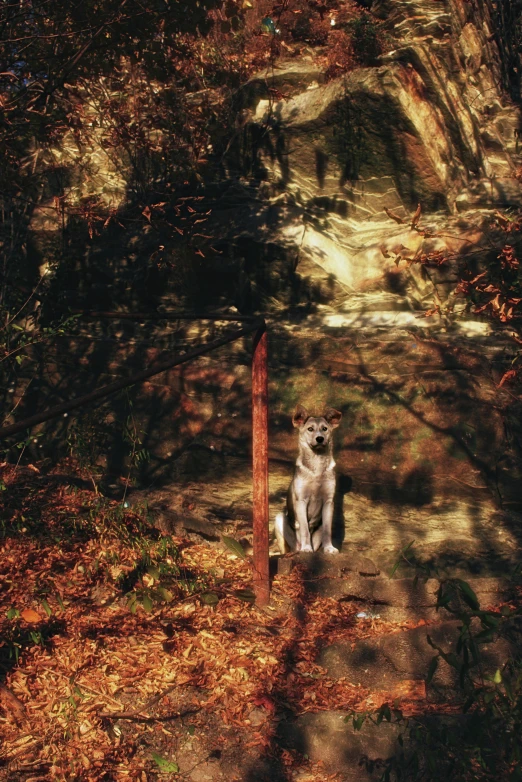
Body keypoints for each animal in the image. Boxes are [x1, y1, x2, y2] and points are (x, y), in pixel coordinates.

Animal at [272, 404, 342, 556]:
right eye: (310, 429)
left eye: (325, 428)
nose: (320, 439)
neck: (317, 467)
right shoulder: (301, 501)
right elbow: (304, 528)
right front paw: (306, 547)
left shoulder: (328, 501)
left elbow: (328, 530)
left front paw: (329, 548)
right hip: (279, 519)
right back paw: (299, 549)